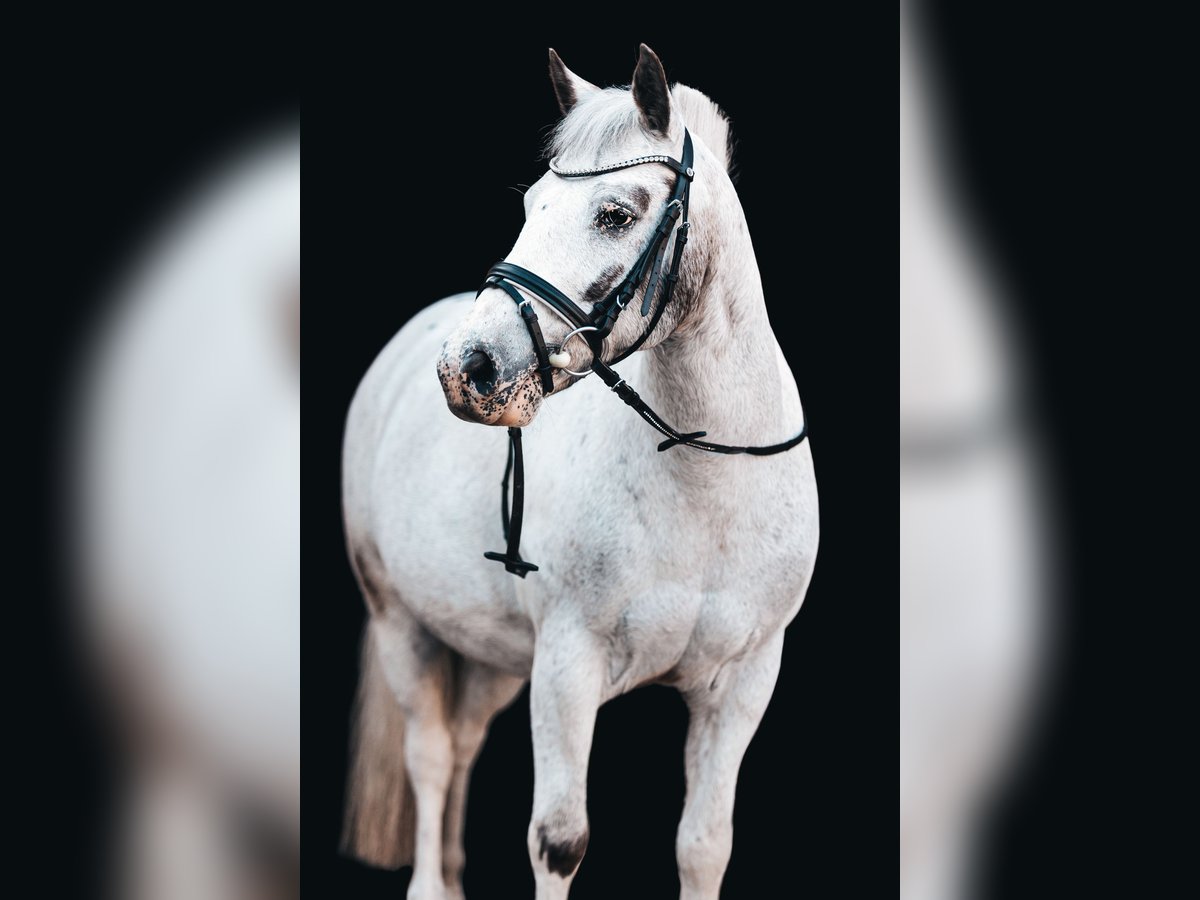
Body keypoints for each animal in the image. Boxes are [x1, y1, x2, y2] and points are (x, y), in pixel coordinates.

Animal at [340, 44, 819, 900]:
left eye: (615, 214)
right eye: (532, 204)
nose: (468, 369)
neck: (704, 482)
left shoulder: (744, 679)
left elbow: (704, 845)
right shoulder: (568, 665)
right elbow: (559, 842)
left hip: (492, 654)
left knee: (463, 745)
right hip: (403, 622)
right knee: (430, 755)